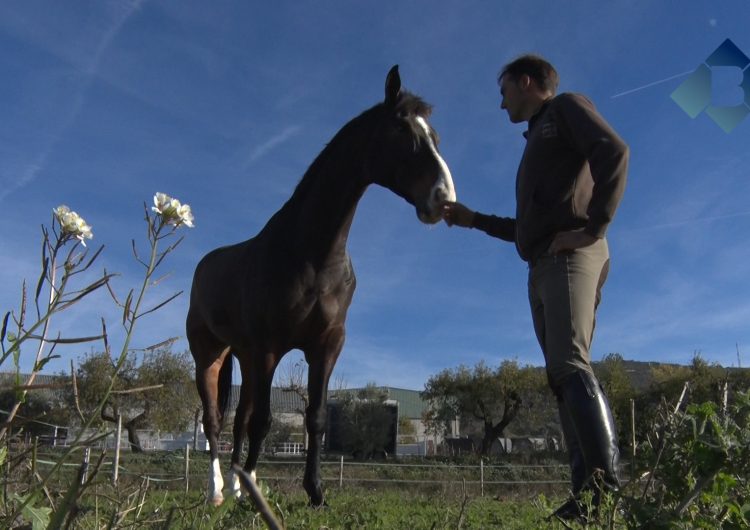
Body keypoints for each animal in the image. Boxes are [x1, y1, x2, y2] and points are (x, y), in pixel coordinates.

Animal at [191, 66, 456, 504]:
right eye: (403, 132)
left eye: (433, 135)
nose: (443, 198)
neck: (313, 255)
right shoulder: (270, 348)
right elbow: (264, 421)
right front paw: (259, 490)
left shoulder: (327, 345)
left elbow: (314, 417)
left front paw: (314, 491)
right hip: (209, 356)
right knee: (213, 420)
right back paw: (217, 490)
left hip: (244, 358)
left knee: (237, 420)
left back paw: (237, 486)